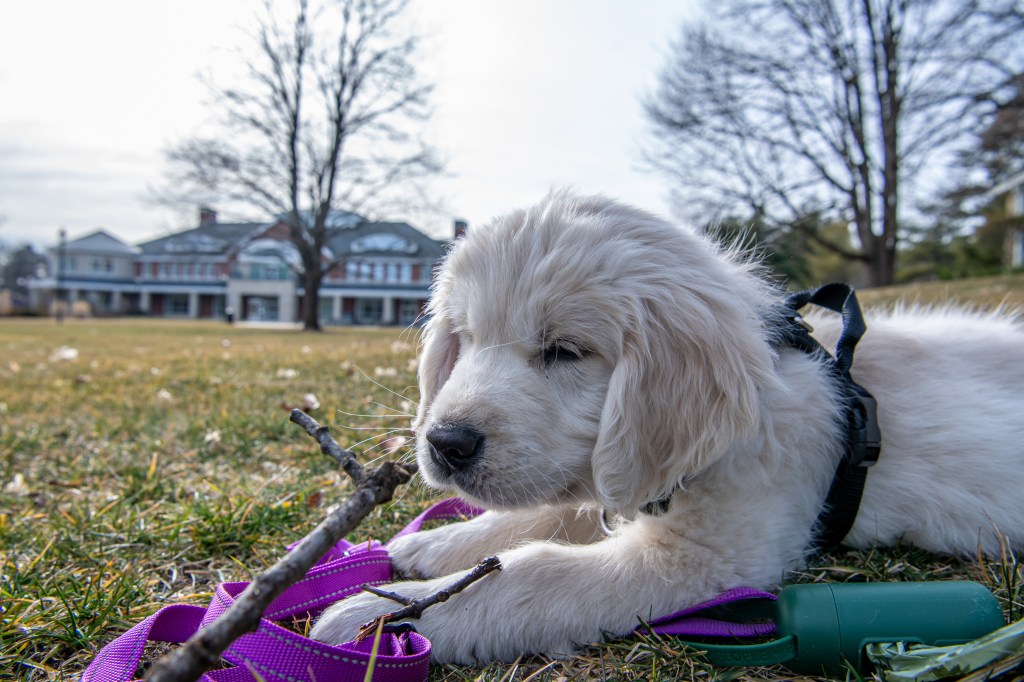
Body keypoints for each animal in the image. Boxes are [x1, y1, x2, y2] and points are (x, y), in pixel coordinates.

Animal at [311, 191, 1024, 664]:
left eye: (566, 351)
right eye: (466, 338)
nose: (445, 443)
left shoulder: (704, 558)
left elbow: (532, 572)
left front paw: (379, 617)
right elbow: (549, 513)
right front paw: (435, 548)